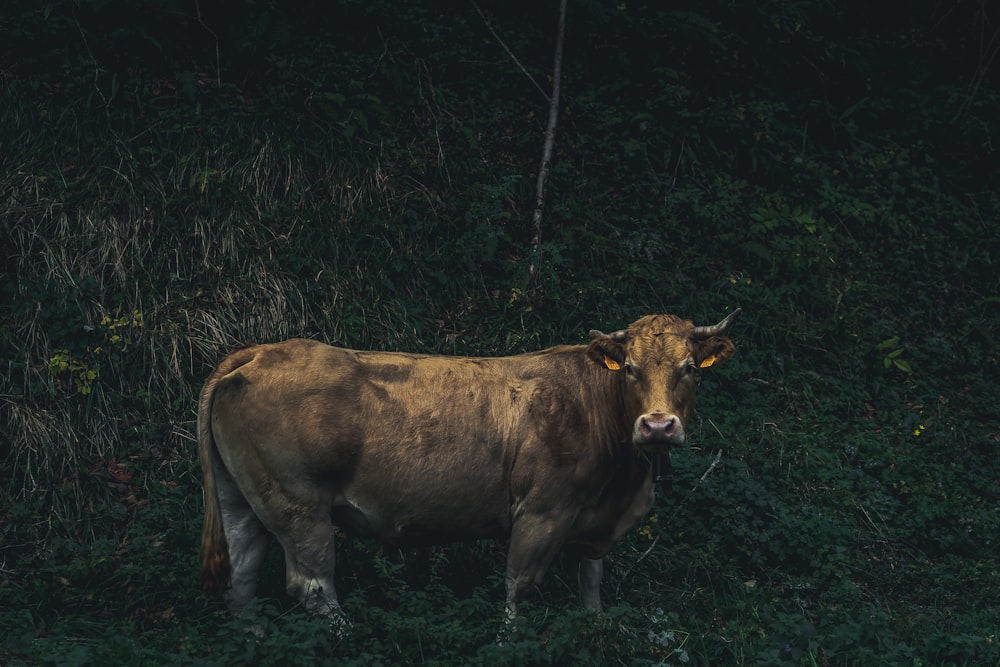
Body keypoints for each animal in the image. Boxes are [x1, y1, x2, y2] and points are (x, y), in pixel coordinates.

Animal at [199, 310, 740, 624]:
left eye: (689, 368)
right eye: (629, 368)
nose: (657, 426)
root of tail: (262, 350)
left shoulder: (594, 520)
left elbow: (591, 582)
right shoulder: (543, 512)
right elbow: (519, 587)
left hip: (244, 498)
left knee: (242, 576)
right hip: (300, 505)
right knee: (311, 585)